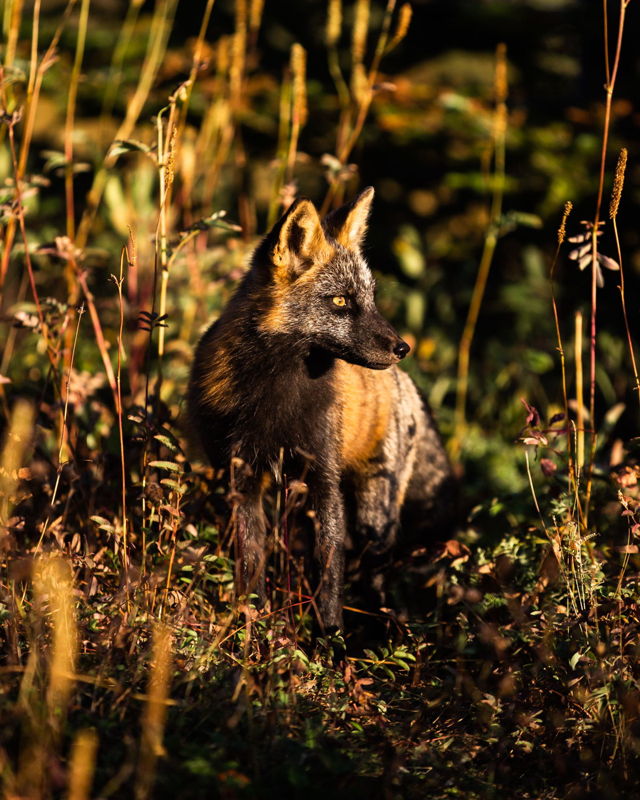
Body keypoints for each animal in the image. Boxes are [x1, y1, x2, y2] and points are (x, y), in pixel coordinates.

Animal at [188, 187, 455, 630]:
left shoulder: (323, 478)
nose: (403, 348)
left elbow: (328, 571)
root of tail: (407, 387)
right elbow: (252, 562)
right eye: (341, 301)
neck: (277, 398)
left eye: (370, 299)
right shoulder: (242, 478)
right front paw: (254, 624)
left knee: (374, 573)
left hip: (373, 515)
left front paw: (329, 635)